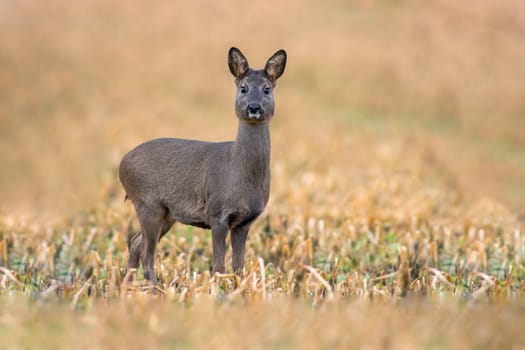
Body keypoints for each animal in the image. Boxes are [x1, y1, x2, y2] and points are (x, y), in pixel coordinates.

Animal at [118, 47, 286, 284]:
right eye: (243, 88)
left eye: (267, 89)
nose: (254, 107)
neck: (238, 170)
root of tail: (122, 164)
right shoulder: (217, 213)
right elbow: (218, 267)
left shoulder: (244, 222)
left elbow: (238, 267)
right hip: (147, 203)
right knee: (147, 256)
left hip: (167, 213)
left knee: (134, 243)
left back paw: (127, 287)